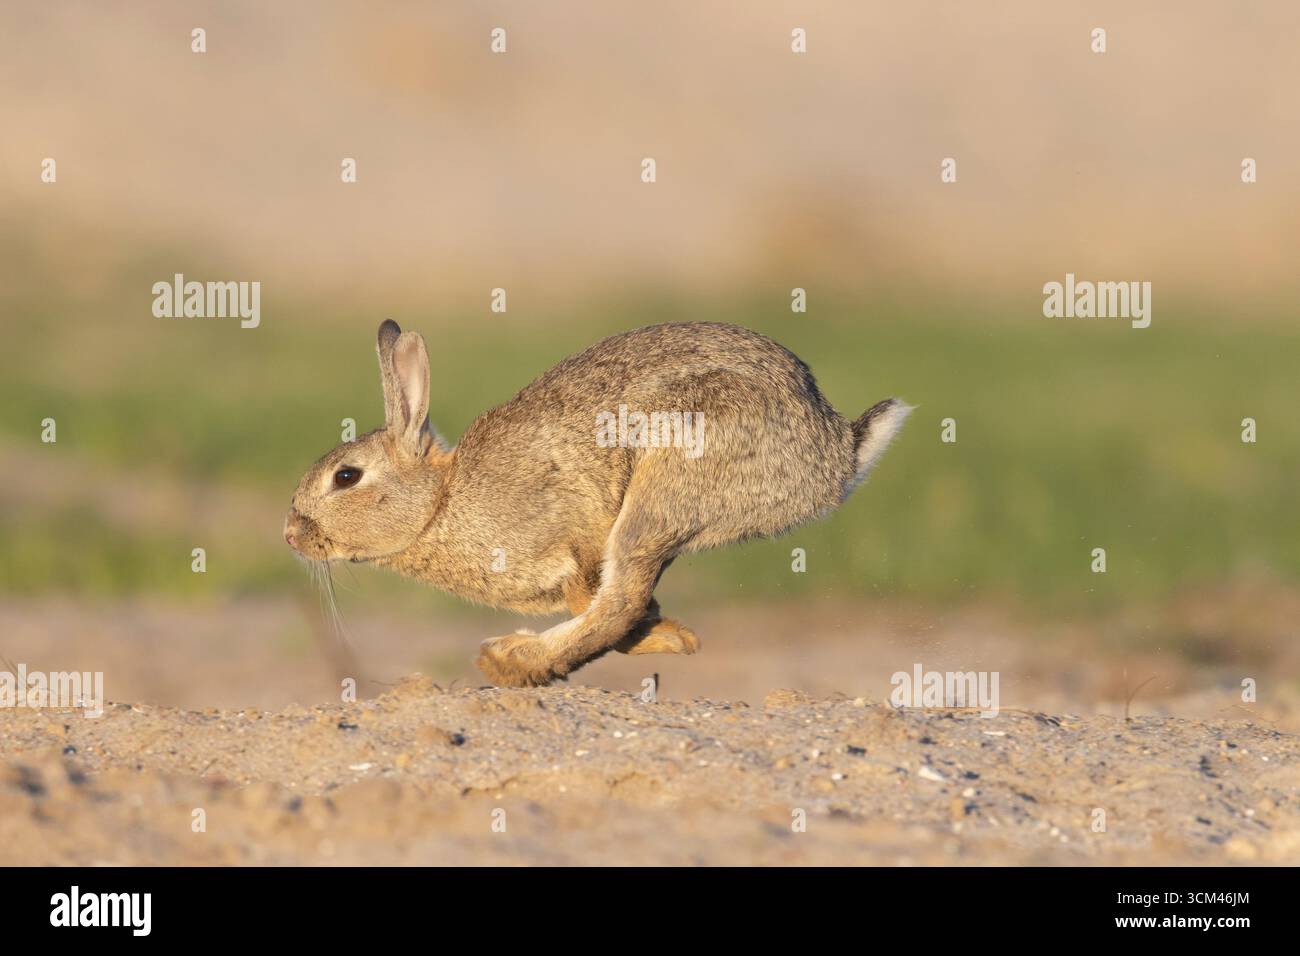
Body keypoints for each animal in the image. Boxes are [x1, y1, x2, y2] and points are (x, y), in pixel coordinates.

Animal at [284, 319, 911, 687]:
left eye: (346, 477)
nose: (291, 536)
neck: (439, 501)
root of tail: (834, 453)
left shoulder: (573, 534)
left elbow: (603, 600)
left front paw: (666, 633)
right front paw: (671, 632)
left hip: (668, 477)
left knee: (619, 601)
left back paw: (512, 660)